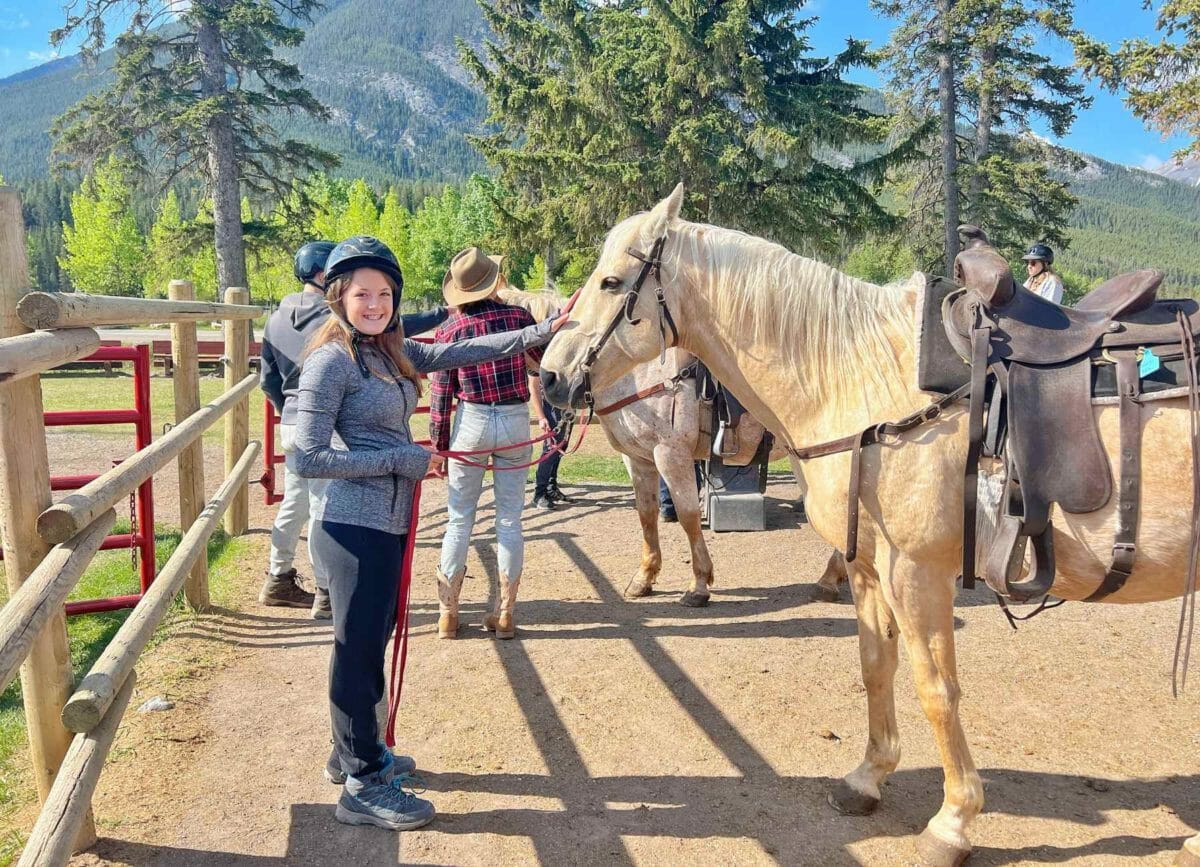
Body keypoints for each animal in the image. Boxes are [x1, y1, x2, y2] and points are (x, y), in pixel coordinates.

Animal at [499, 286, 845, 606]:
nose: (547, 380)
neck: (639, 372)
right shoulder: (637, 458)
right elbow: (646, 514)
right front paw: (644, 578)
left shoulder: (671, 454)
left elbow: (688, 515)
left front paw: (699, 585)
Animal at [536, 184, 1200, 866]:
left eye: (612, 281)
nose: (550, 376)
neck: (864, 376)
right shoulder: (867, 565)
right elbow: (874, 664)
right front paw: (867, 778)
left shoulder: (914, 570)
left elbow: (936, 688)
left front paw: (952, 823)